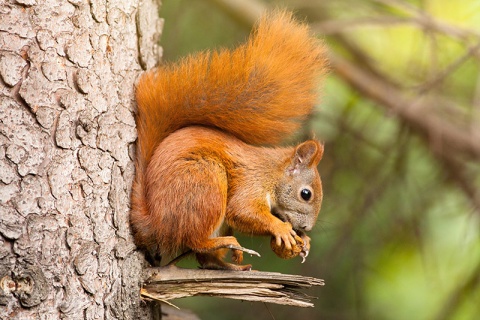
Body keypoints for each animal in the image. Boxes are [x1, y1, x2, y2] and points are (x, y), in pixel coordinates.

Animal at [129, 10, 328, 270]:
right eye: (306, 194)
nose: (306, 228)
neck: (273, 173)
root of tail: (155, 222)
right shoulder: (252, 182)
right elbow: (241, 210)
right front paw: (282, 229)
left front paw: (306, 242)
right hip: (205, 182)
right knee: (195, 240)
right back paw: (224, 245)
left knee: (205, 259)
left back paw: (232, 264)